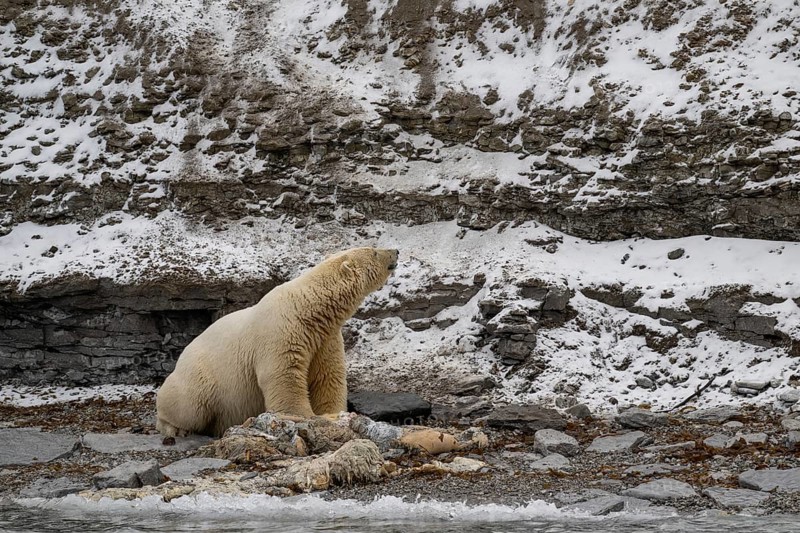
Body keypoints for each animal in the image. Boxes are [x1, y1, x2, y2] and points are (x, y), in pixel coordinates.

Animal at [155, 247, 399, 438]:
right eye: (374, 251)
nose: (395, 251)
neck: (308, 309)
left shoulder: (325, 337)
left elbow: (327, 375)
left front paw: (335, 413)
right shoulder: (282, 331)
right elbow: (283, 375)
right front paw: (304, 416)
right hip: (201, 378)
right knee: (188, 406)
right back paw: (174, 428)